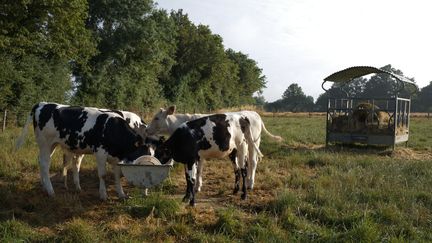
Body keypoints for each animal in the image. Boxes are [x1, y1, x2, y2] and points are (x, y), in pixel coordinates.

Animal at [17, 102, 155, 199]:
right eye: (143, 161)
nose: (147, 191)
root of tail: (43, 103)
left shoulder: (116, 157)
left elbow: (117, 175)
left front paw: (121, 194)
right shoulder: (100, 153)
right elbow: (103, 175)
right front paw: (103, 195)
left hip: (51, 145)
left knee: (41, 161)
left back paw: (45, 187)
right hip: (45, 143)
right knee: (45, 164)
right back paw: (51, 191)